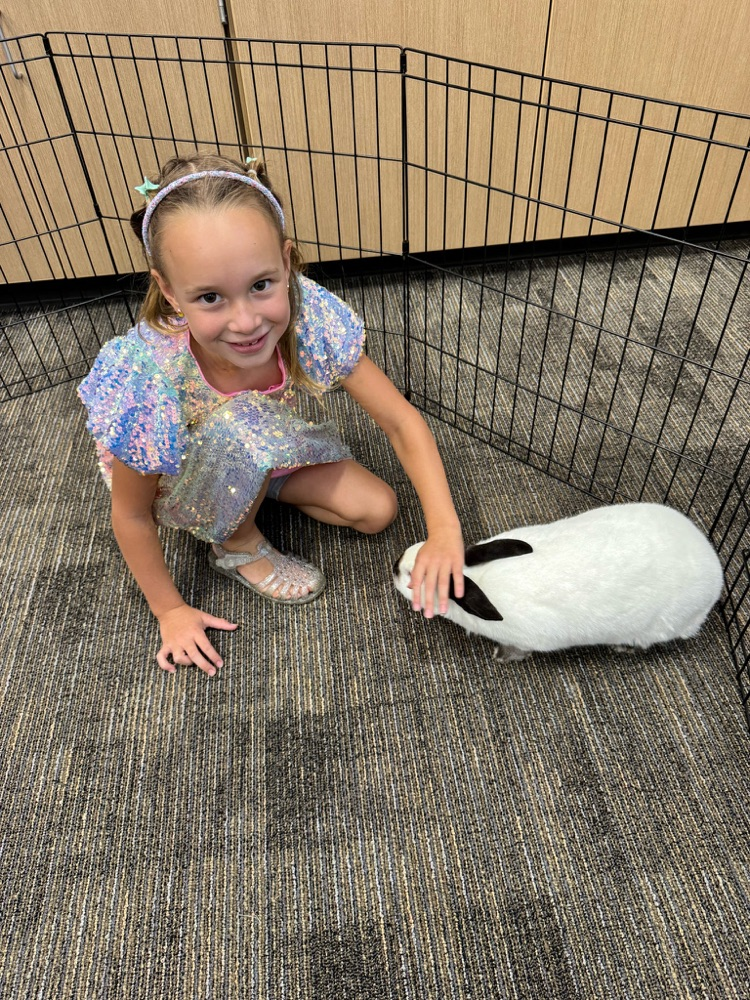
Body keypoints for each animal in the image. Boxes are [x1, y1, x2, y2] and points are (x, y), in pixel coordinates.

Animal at [393, 503, 724, 661]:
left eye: (412, 579)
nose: (395, 567)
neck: (478, 577)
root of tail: (716, 573)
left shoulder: (526, 638)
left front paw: (502, 656)